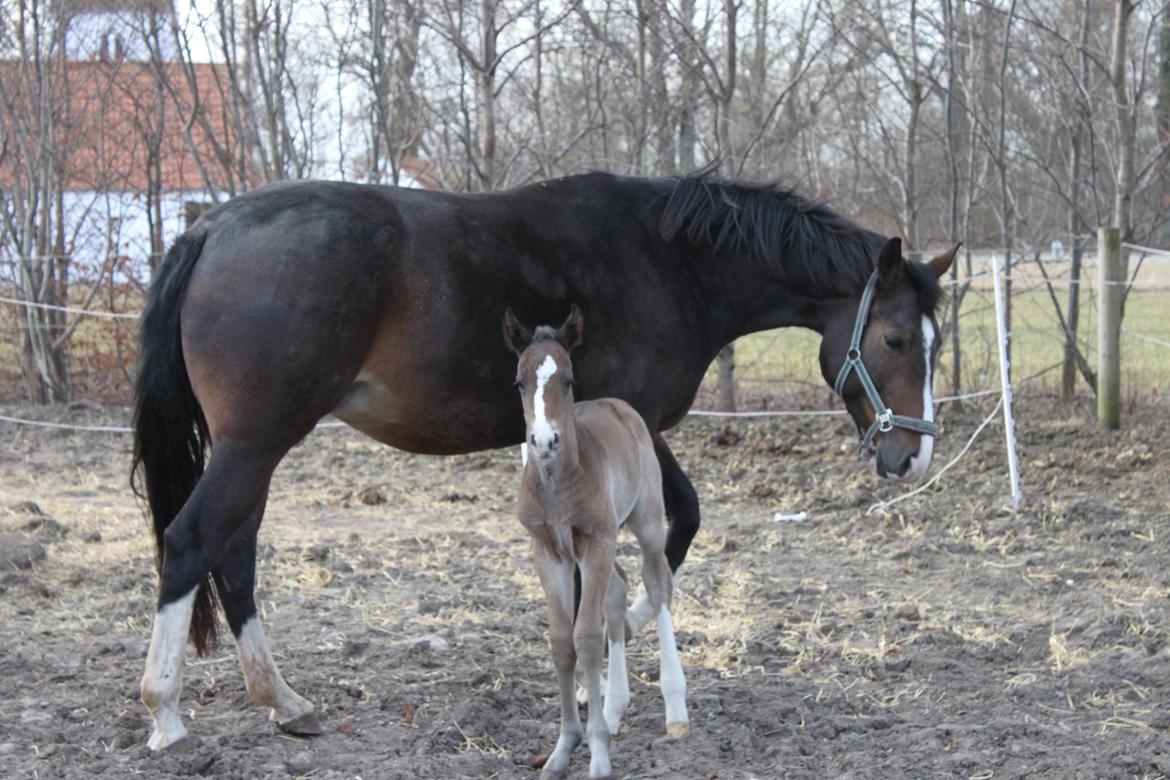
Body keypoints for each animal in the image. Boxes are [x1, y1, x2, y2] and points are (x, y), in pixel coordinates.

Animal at [500, 306, 683, 780]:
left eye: (567, 380)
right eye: (519, 382)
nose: (544, 441)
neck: (556, 482)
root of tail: (619, 405)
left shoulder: (595, 541)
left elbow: (585, 637)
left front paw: (598, 757)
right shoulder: (549, 552)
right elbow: (562, 640)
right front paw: (563, 750)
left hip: (645, 521)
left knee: (657, 584)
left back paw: (676, 708)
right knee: (618, 591)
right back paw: (615, 708)